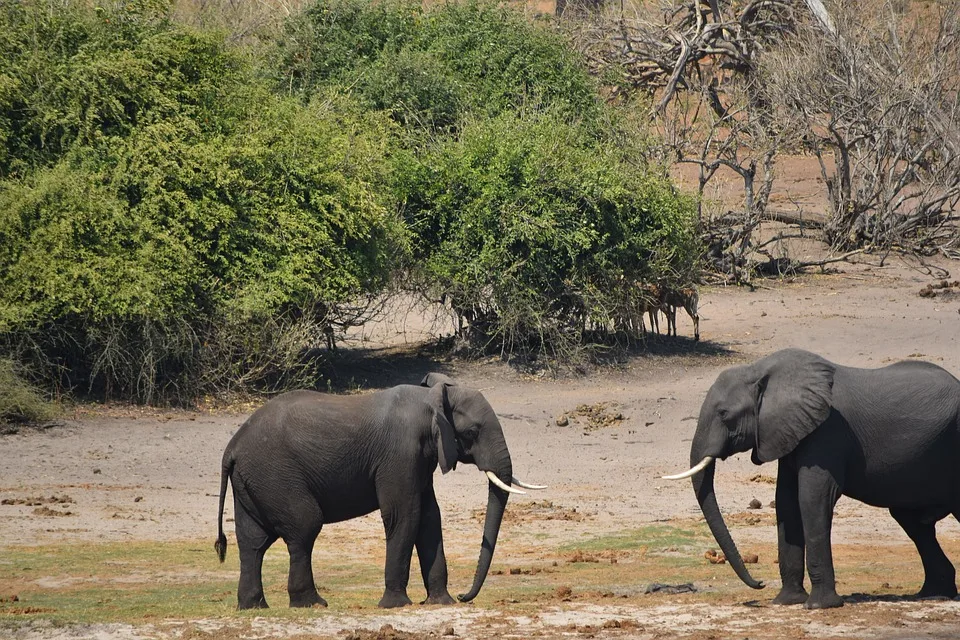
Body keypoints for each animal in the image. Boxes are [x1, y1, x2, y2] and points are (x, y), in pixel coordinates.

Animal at [218, 372, 548, 608]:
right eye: (472, 432)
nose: (464, 596)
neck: (431, 398)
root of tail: (232, 447)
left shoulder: (420, 457)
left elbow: (430, 518)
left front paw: (441, 602)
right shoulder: (399, 454)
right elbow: (405, 515)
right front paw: (396, 605)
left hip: (255, 481)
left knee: (253, 542)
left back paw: (254, 606)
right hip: (275, 475)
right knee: (304, 527)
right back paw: (312, 604)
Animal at [664, 350, 960, 608]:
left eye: (724, 414)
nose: (759, 583)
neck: (760, 371)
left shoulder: (826, 432)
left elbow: (812, 499)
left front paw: (819, 606)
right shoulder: (790, 432)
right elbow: (786, 502)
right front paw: (787, 601)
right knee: (913, 522)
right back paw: (934, 595)